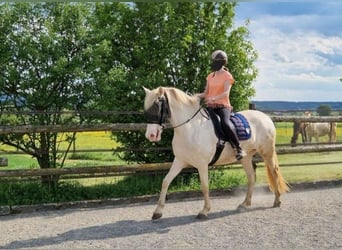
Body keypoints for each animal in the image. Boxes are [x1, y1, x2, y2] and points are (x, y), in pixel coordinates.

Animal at [142, 87, 288, 220]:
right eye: (146, 109)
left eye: (156, 106)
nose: (151, 136)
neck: (191, 128)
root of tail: (266, 117)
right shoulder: (179, 161)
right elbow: (165, 181)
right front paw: (157, 212)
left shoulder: (202, 164)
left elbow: (205, 186)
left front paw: (204, 211)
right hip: (246, 157)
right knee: (251, 177)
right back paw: (244, 204)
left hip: (267, 153)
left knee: (274, 172)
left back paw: (277, 201)